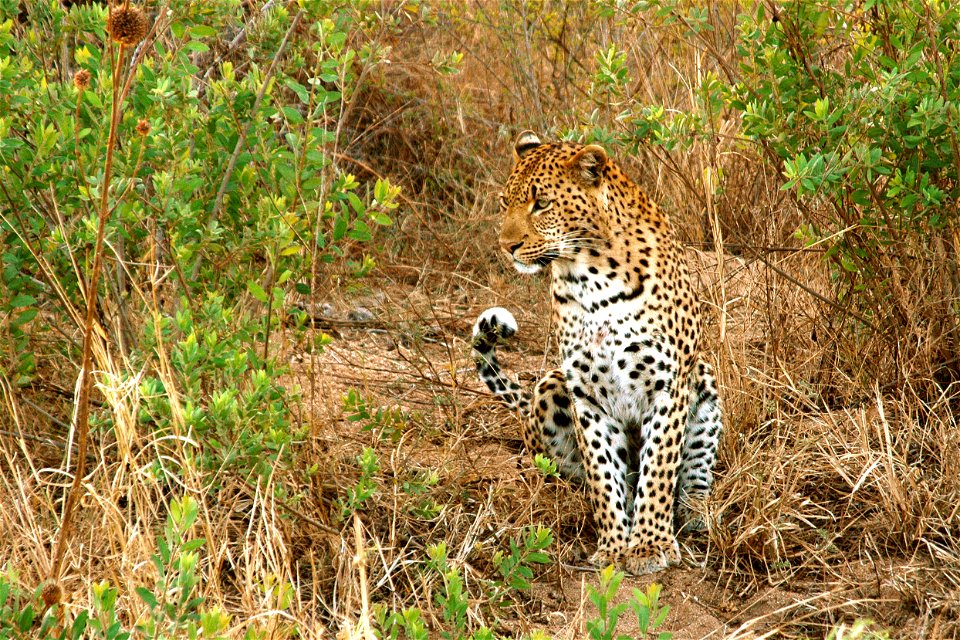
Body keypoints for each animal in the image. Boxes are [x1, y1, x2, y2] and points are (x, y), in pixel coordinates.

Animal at [468, 131, 724, 576]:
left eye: (541, 203)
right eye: (504, 202)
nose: (506, 246)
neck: (589, 279)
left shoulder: (667, 385)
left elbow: (659, 469)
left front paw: (649, 545)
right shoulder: (586, 394)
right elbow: (603, 473)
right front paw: (613, 545)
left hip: (704, 380)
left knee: (692, 473)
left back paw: (695, 514)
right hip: (549, 387)